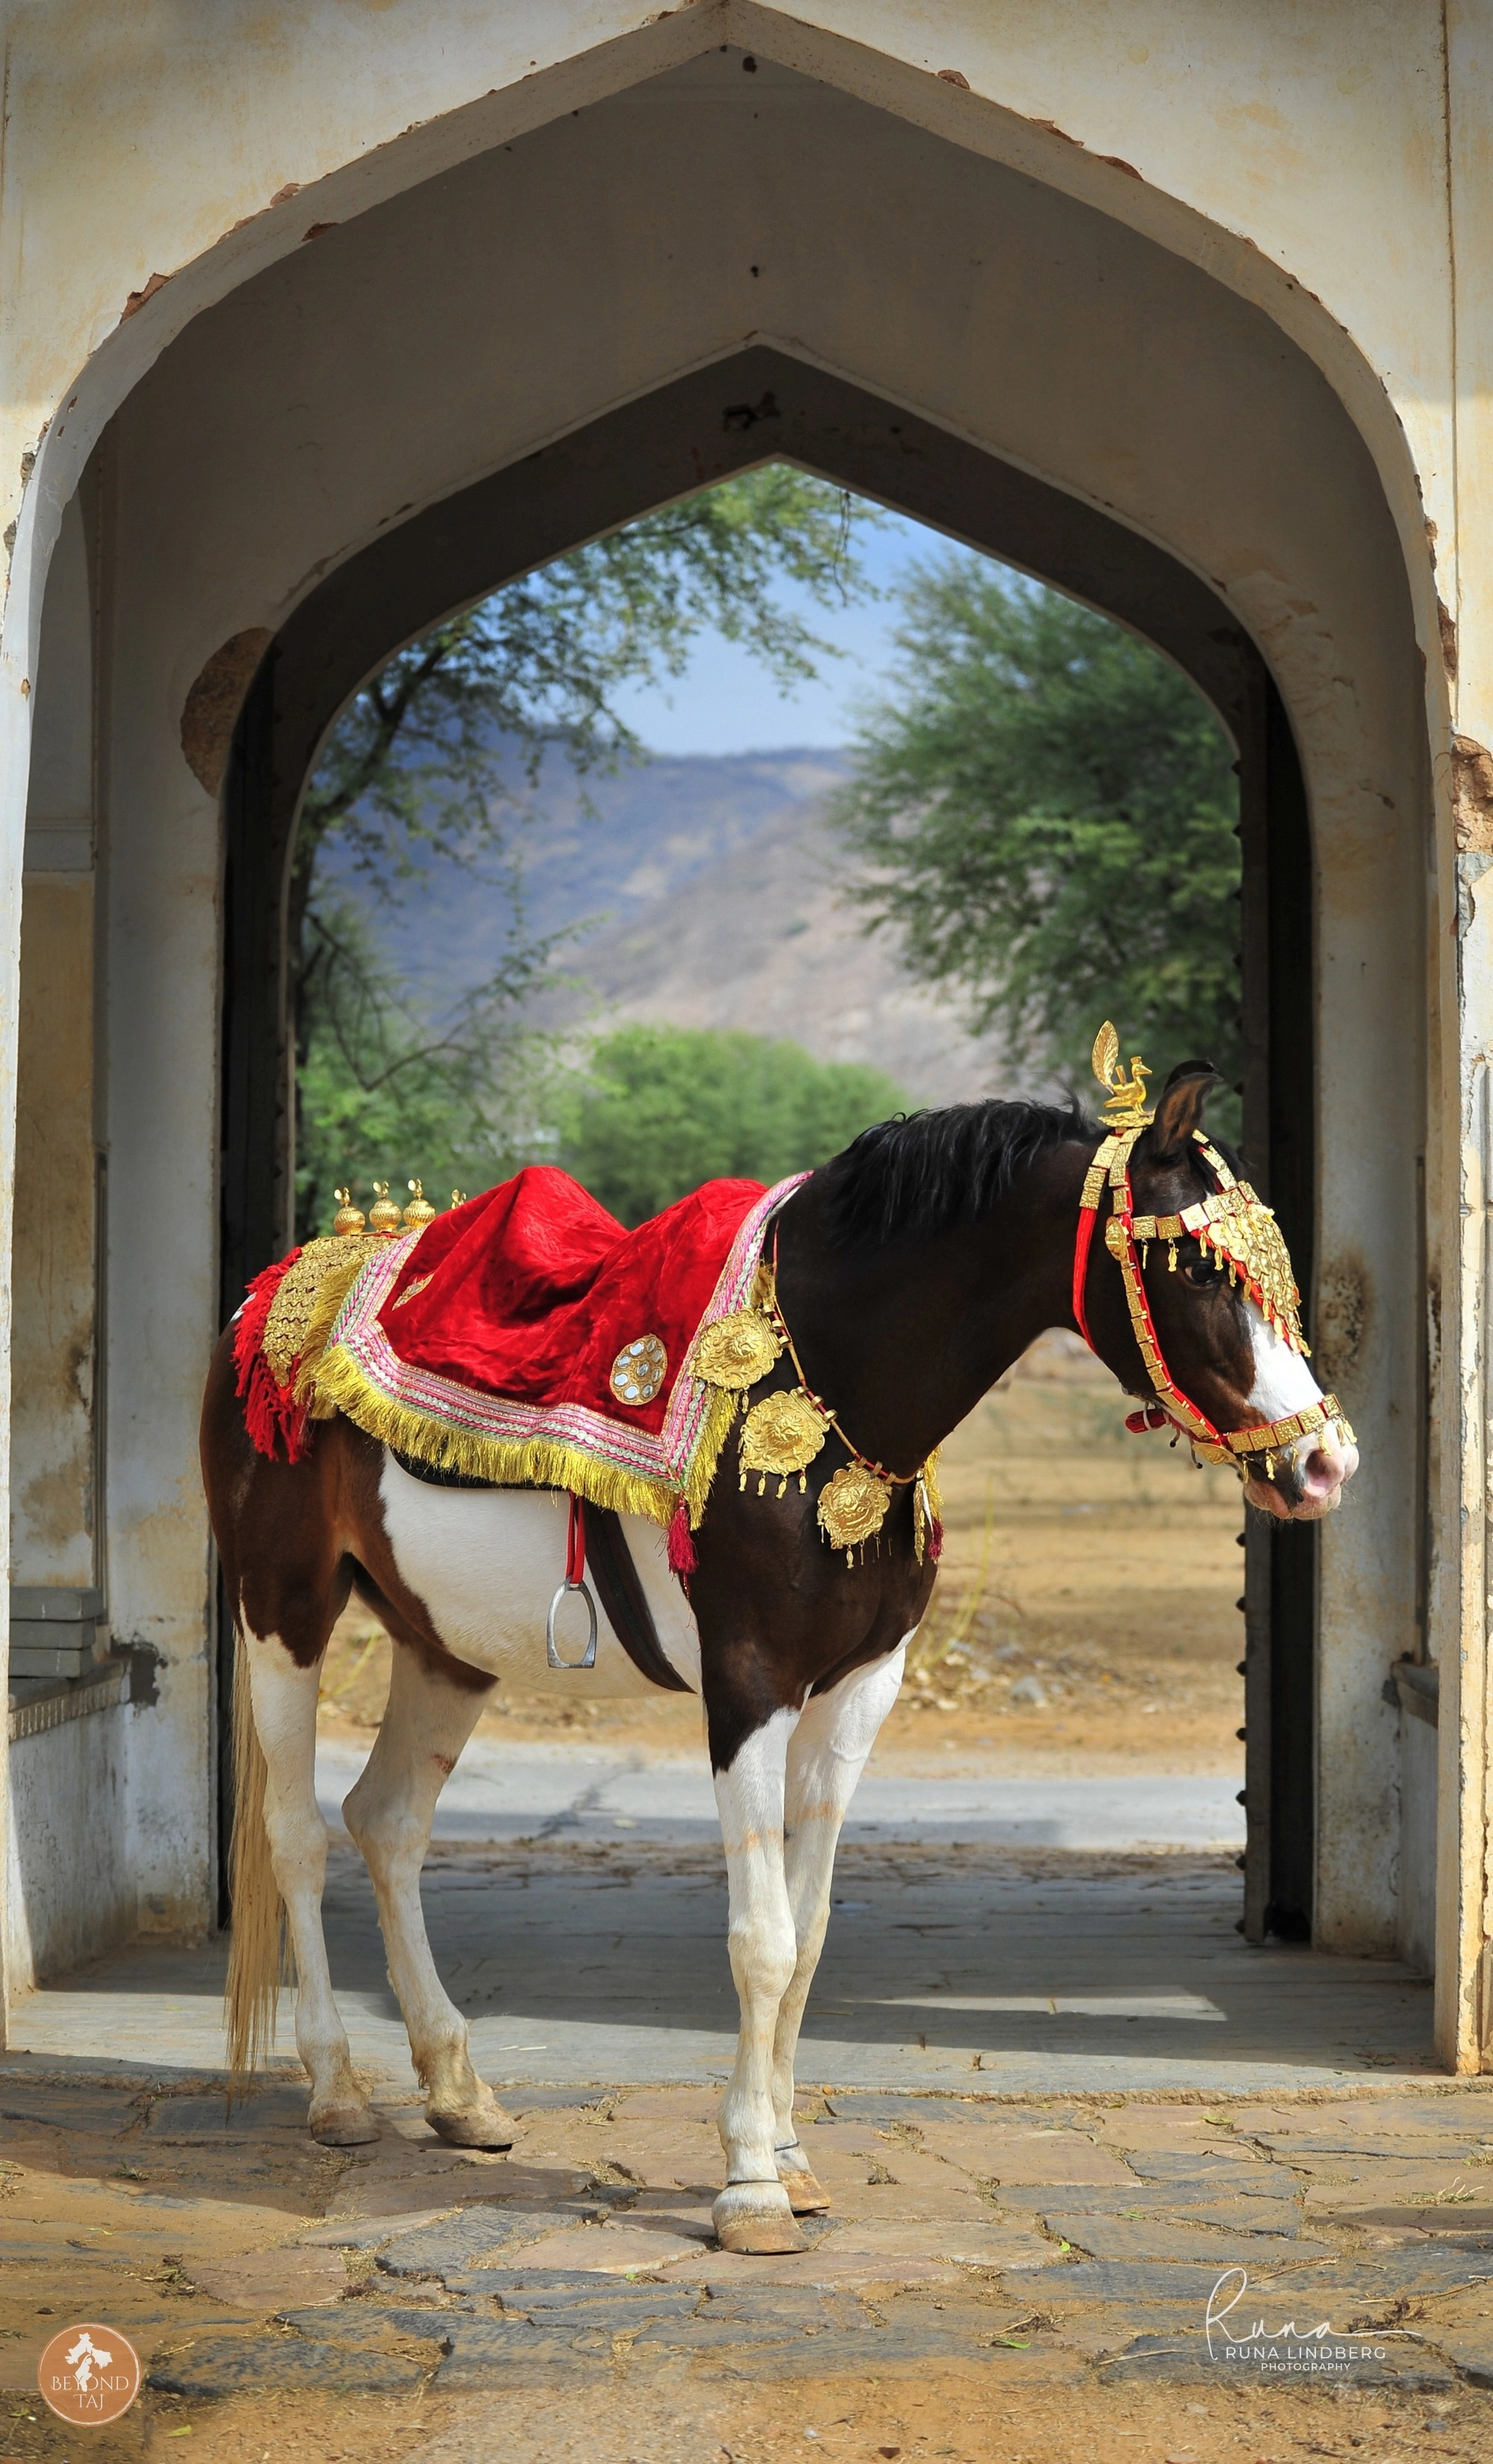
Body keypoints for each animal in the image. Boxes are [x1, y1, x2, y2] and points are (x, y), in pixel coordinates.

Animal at [200, 1062, 1358, 2256]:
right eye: (1201, 1267)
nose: (1325, 1463)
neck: (829, 1379)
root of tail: (279, 1290)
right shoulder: (748, 1685)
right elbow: (758, 1936)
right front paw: (750, 2184)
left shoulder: (857, 1691)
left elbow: (806, 1937)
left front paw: (793, 2162)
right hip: (282, 1607)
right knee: (297, 1835)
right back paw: (337, 2088)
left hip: (445, 1642)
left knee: (388, 1822)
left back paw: (457, 2089)